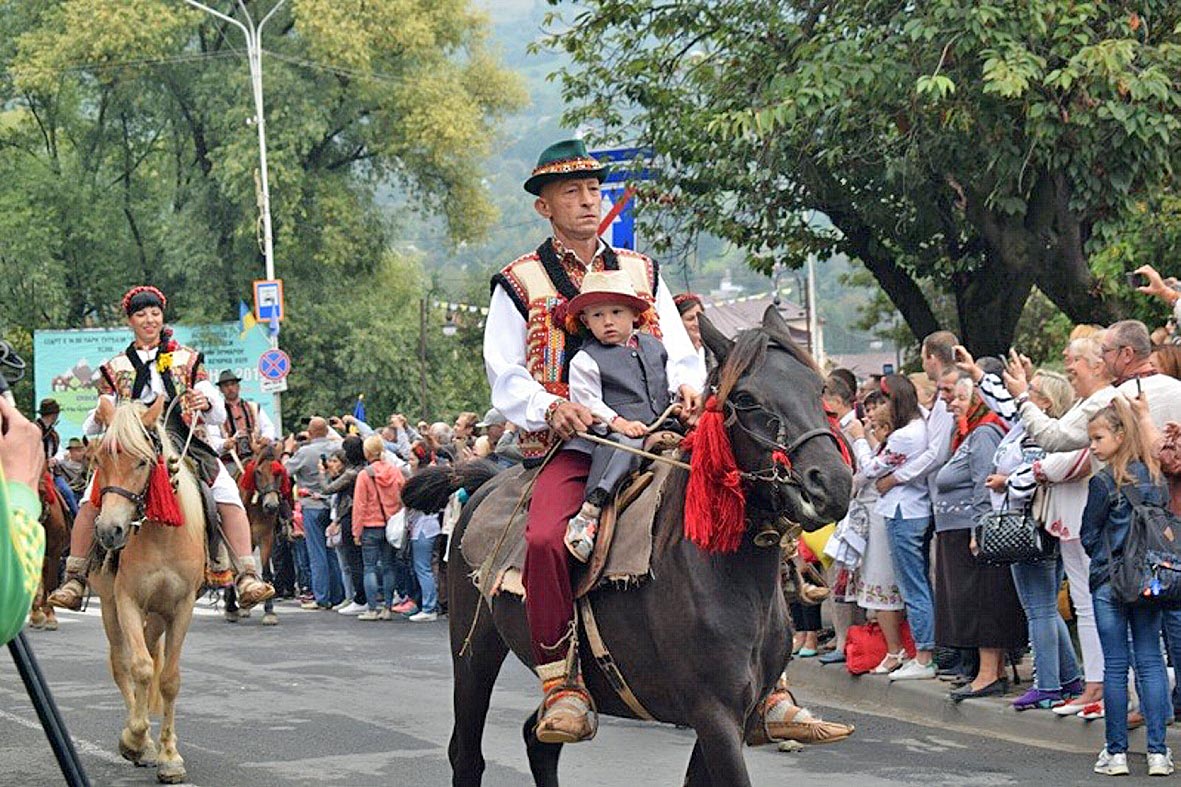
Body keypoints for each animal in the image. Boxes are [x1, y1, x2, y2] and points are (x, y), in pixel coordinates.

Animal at [219, 437, 281, 623]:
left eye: (279, 473)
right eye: (259, 472)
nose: (271, 506)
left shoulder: (266, 538)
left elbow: (266, 572)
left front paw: (269, 611)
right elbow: (233, 571)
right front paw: (231, 608)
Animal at [429, 307, 855, 784]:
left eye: (818, 389)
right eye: (746, 399)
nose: (831, 483)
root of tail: (486, 482)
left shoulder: (732, 717)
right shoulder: (714, 713)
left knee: (538, 742)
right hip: (474, 655)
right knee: (467, 754)